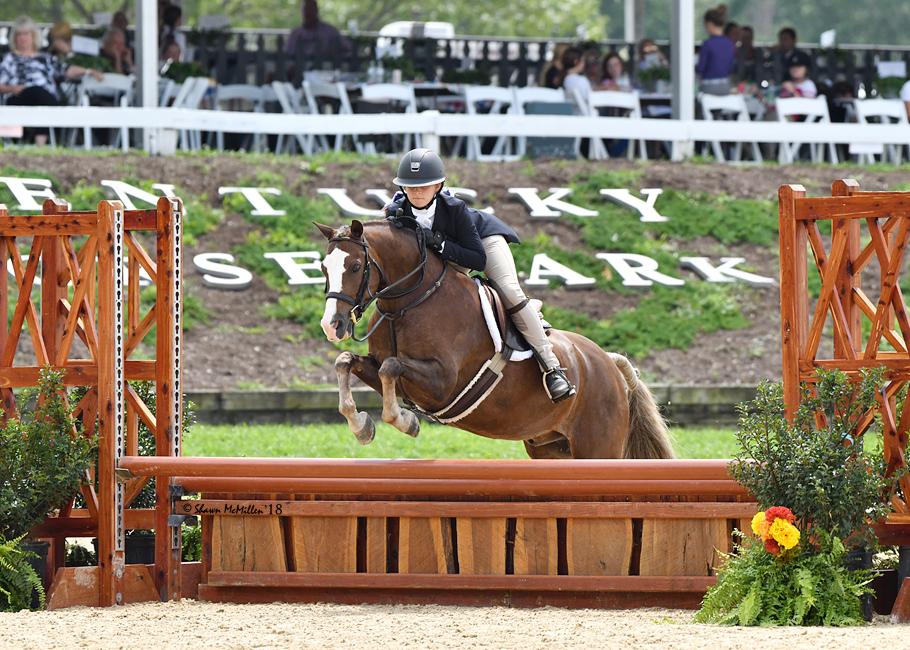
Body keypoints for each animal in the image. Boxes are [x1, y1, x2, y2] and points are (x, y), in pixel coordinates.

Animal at [315, 218, 674, 460]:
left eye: (355, 266)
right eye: (323, 267)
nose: (331, 325)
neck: (409, 302)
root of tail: (609, 363)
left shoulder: (441, 382)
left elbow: (391, 366)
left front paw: (405, 422)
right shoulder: (388, 369)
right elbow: (346, 362)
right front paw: (362, 425)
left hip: (598, 447)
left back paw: (558, 381)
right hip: (550, 446)